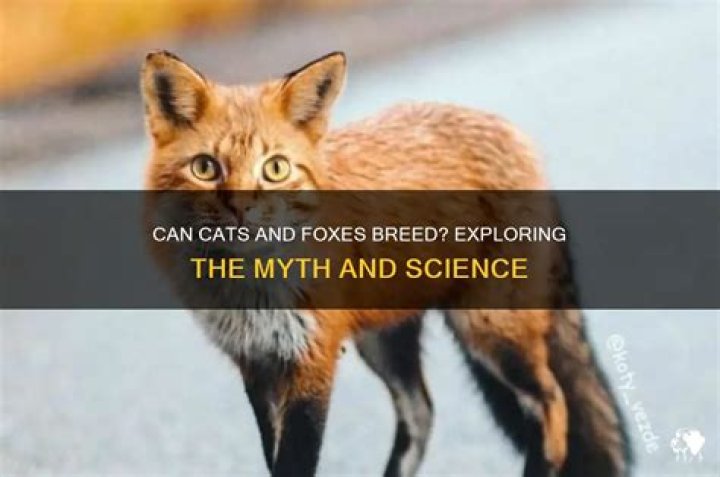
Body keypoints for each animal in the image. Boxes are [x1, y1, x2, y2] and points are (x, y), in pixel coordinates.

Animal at [141, 50, 631, 477]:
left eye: (275, 168)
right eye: (206, 168)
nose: (241, 211)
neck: (250, 289)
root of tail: (512, 131)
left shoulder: (313, 360)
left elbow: (295, 461)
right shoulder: (256, 363)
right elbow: (272, 456)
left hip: (487, 327)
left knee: (552, 405)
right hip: (384, 341)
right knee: (422, 413)